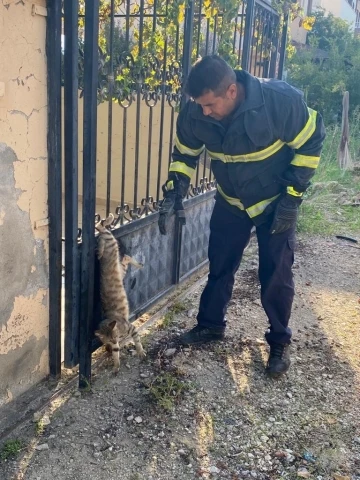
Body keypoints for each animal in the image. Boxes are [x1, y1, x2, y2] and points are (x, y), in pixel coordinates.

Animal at [95, 216, 148, 374]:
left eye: (114, 336)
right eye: (108, 340)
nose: (114, 342)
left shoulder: (132, 328)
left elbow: (137, 341)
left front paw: (140, 352)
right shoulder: (115, 345)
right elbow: (116, 354)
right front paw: (116, 366)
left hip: (111, 243)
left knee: (101, 228)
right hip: (122, 268)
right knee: (126, 257)